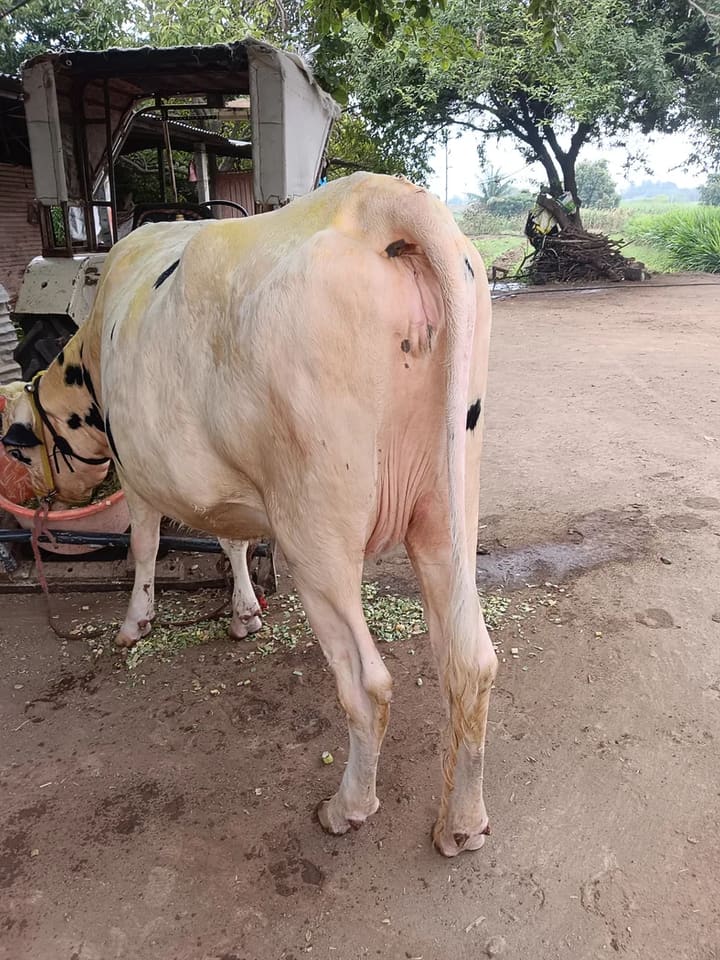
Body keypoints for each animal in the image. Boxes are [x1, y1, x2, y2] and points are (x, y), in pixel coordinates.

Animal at [0, 172, 495, 856]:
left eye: (24, 445)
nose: (51, 499)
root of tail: (379, 199)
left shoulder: (140, 471)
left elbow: (145, 547)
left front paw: (134, 624)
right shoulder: (226, 485)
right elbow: (231, 540)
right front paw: (243, 613)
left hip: (317, 533)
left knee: (367, 686)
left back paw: (347, 807)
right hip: (448, 508)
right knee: (471, 661)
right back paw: (462, 823)